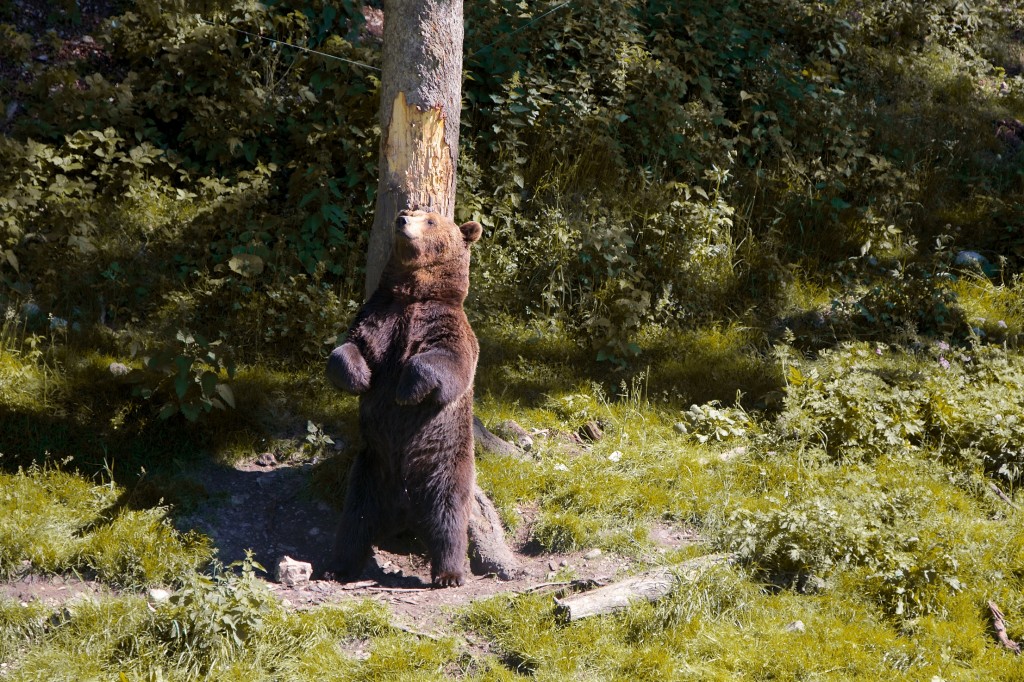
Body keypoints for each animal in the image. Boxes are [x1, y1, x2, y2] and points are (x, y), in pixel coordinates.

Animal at [327, 206, 487, 585]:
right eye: (408, 211)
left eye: (430, 220)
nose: (401, 221)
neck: (414, 294)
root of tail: (404, 512)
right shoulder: (379, 319)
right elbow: (348, 348)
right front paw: (360, 378)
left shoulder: (444, 326)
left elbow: (449, 363)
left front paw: (405, 391)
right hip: (370, 471)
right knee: (355, 519)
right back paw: (340, 566)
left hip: (444, 465)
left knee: (448, 516)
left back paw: (449, 573)